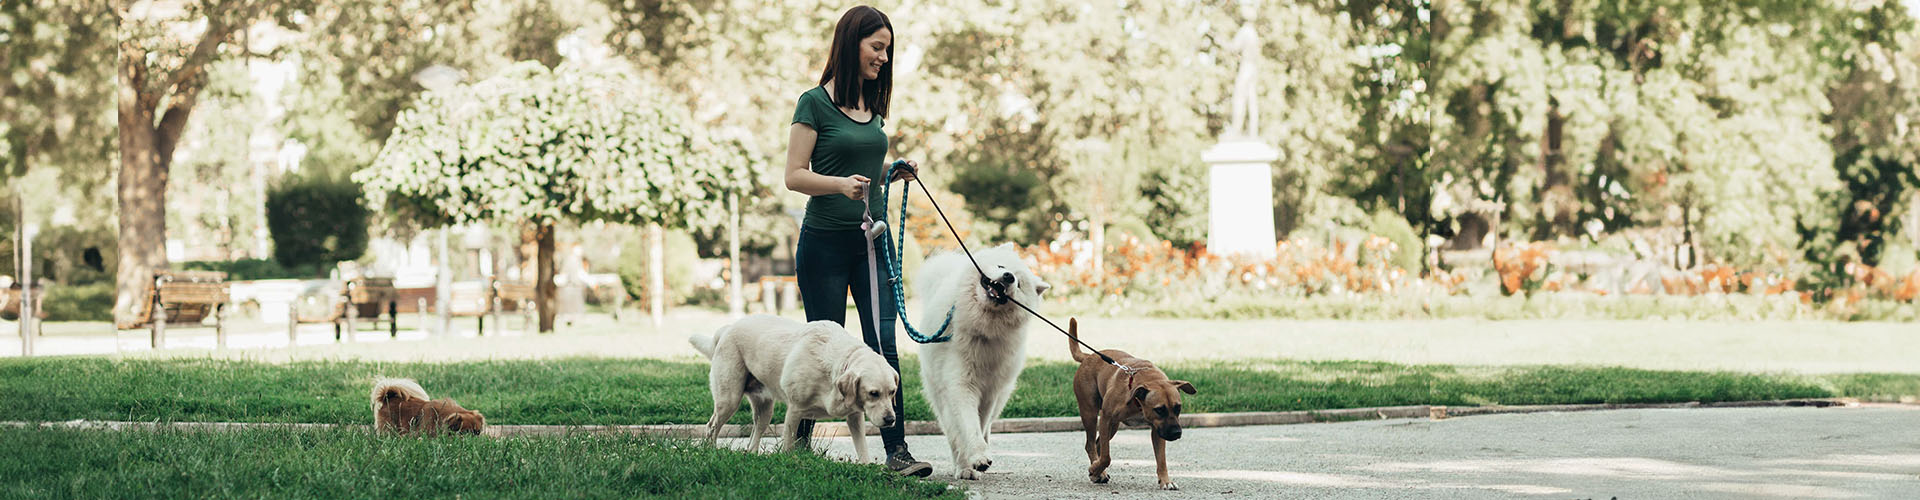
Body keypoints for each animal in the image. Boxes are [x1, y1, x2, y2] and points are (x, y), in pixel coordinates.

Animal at [691, 315, 898, 463]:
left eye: (892, 392)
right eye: (873, 393)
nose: (891, 420)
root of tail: (727, 328)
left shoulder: (855, 416)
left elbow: (862, 447)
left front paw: (867, 468)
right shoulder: (795, 410)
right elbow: (788, 445)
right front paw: (788, 463)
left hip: (764, 409)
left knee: (755, 433)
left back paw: (751, 455)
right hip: (729, 400)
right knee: (711, 426)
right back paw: (710, 452)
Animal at [913, 244, 1052, 478]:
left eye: (1019, 284)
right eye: (1001, 266)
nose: (1009, 276)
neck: (982, 327)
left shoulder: (989, 390)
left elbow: (979, 422)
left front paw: (979, 456)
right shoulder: (960, 384)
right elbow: (968, 424)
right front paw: (975, 459)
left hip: (1001, 395)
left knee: (986, 426)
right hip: (940, 395)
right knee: (952, 432)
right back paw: (962, 464)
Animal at [1067, 321, 1198, 488]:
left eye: (1178, 408)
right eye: (1159, 410)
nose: (1176, 433)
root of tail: (1089, 356)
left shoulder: (1157, 429)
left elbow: (1161, 459)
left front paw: (1165, 481)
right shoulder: (1106, 418)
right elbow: (1107, 457)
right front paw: (1095, 469)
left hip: (1113, 426)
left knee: (1097, 445)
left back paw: (1098, 472)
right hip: (1090, 414)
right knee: (1091, 445)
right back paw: (1097, 470)